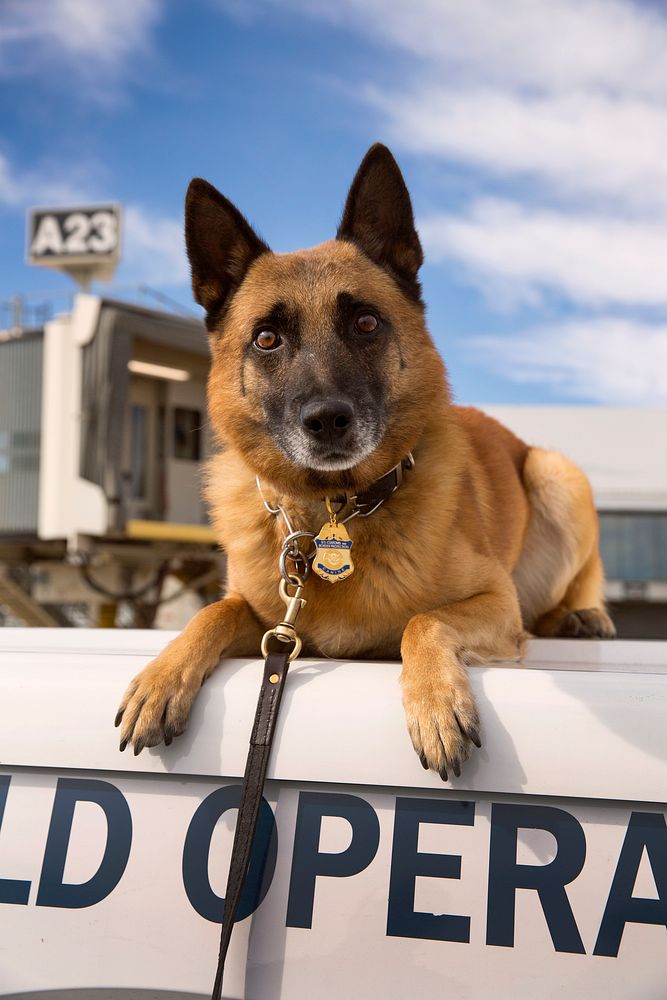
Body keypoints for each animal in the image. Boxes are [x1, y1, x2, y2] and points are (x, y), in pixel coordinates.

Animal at [116, 145, 616, 776]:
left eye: (367, 322)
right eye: (267, 338)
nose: (328, 419)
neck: (335, 512)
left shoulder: (496, 602)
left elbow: (423, 620)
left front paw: (436, 703)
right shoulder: (271, 627)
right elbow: (211, 611)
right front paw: (161, 676)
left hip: (555, 475)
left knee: (554, 602)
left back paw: (581, 617)